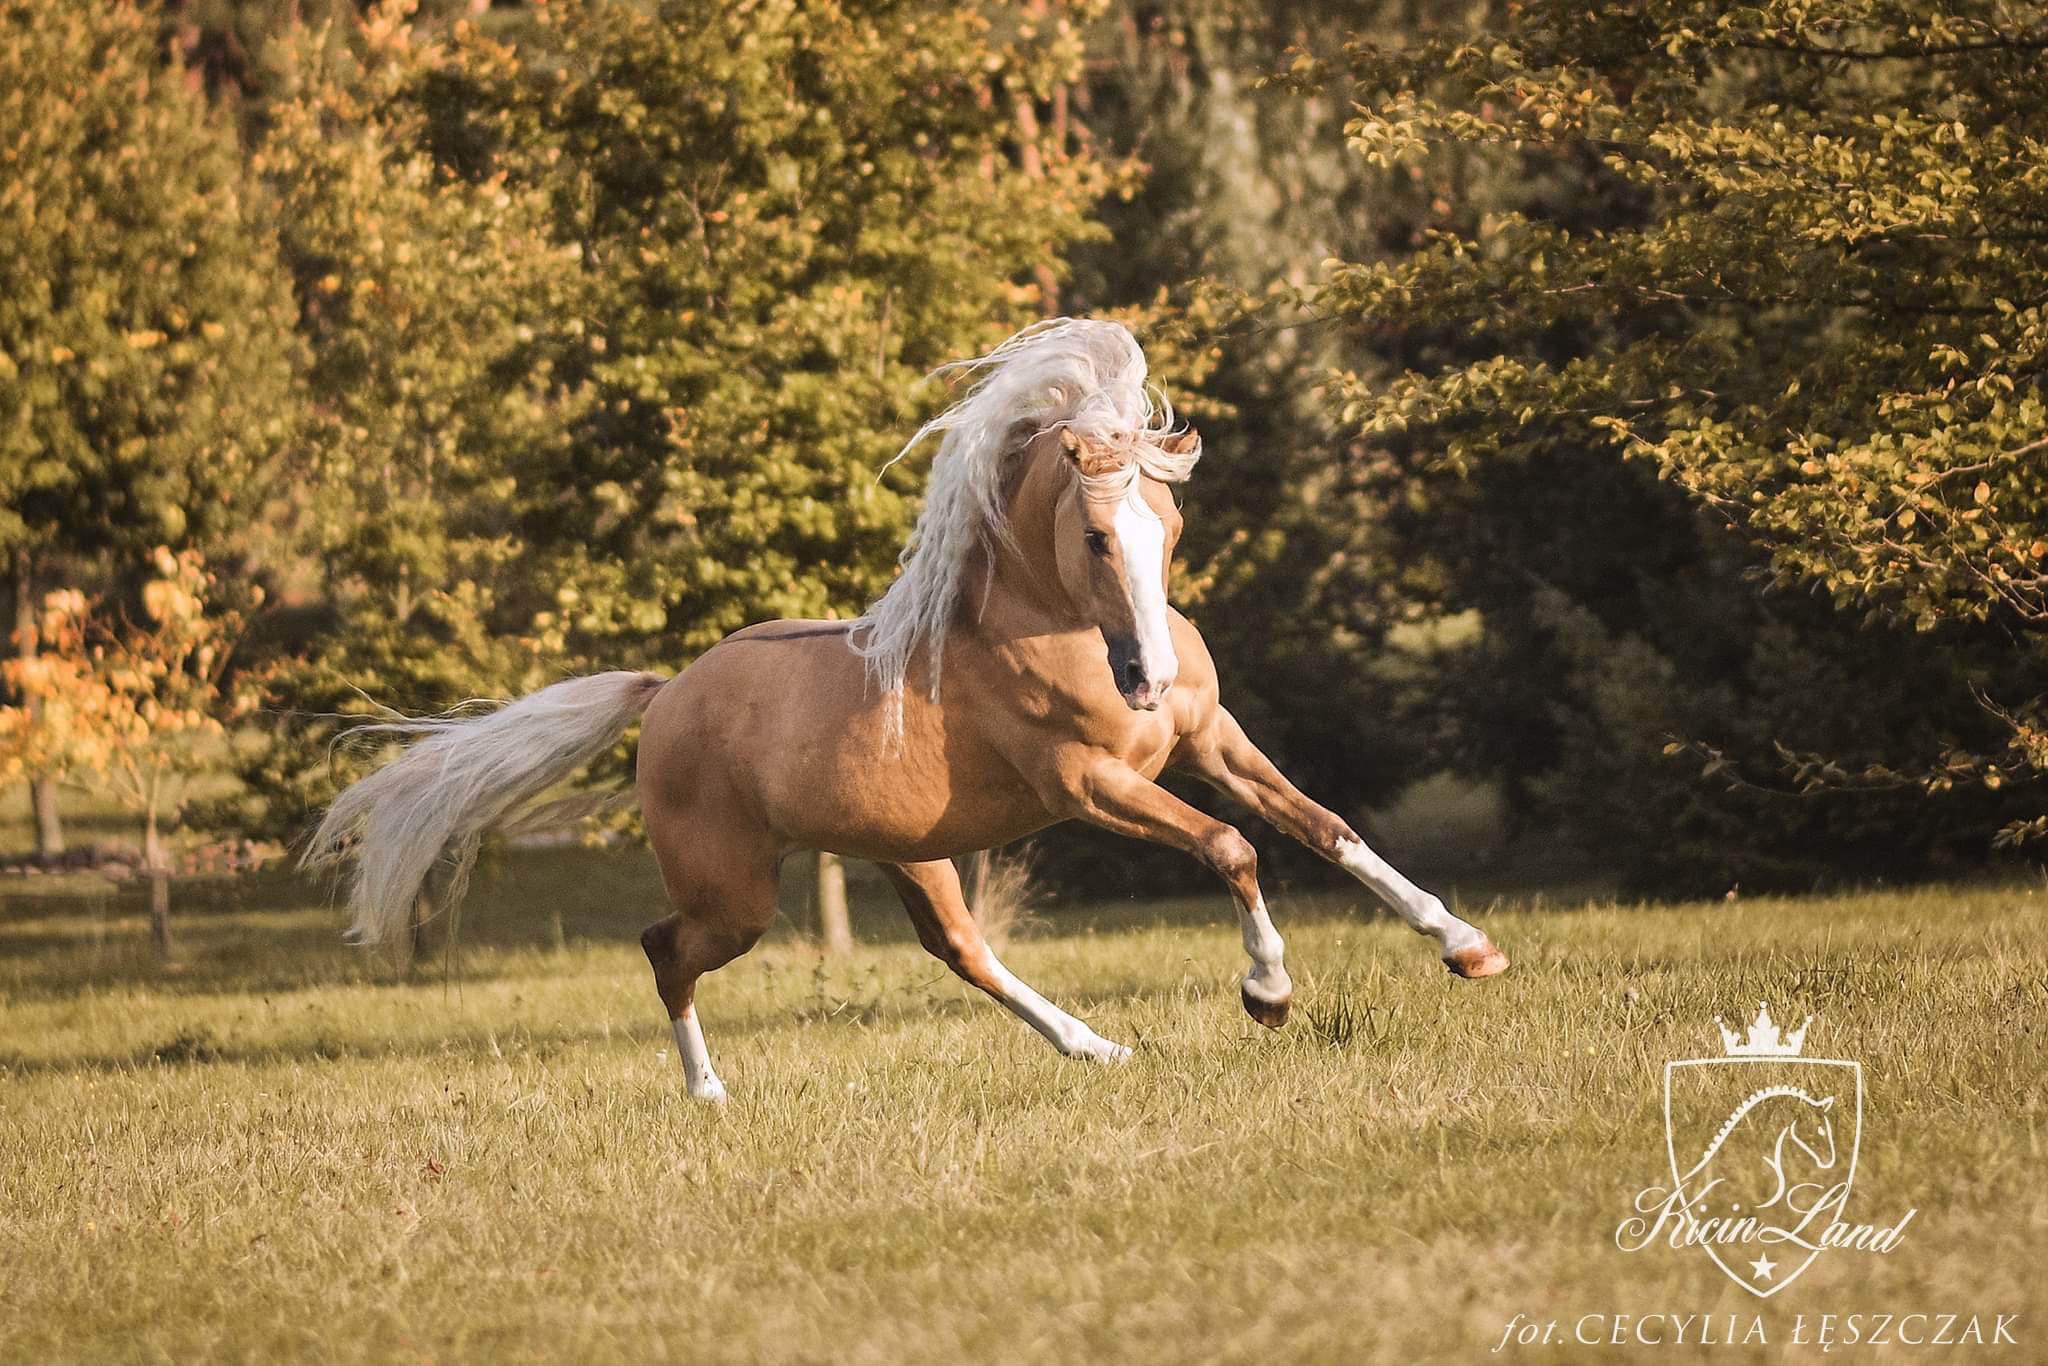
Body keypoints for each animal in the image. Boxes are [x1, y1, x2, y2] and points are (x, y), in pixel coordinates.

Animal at [311, 317, 1515, 1097]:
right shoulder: (1088, 783)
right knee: (665, 947)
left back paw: (1097, 1051)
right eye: (1093, 536)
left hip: (908, 853)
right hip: (737, 894)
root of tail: (667, 695)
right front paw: (1267, 993)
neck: (1042, 629)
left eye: (1169, 529)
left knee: (963, 951)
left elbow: (1323, 826)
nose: (1149, 679)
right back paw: (709, 1093)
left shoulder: (1206, 741)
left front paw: (1468, 946)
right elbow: (1231, 846)